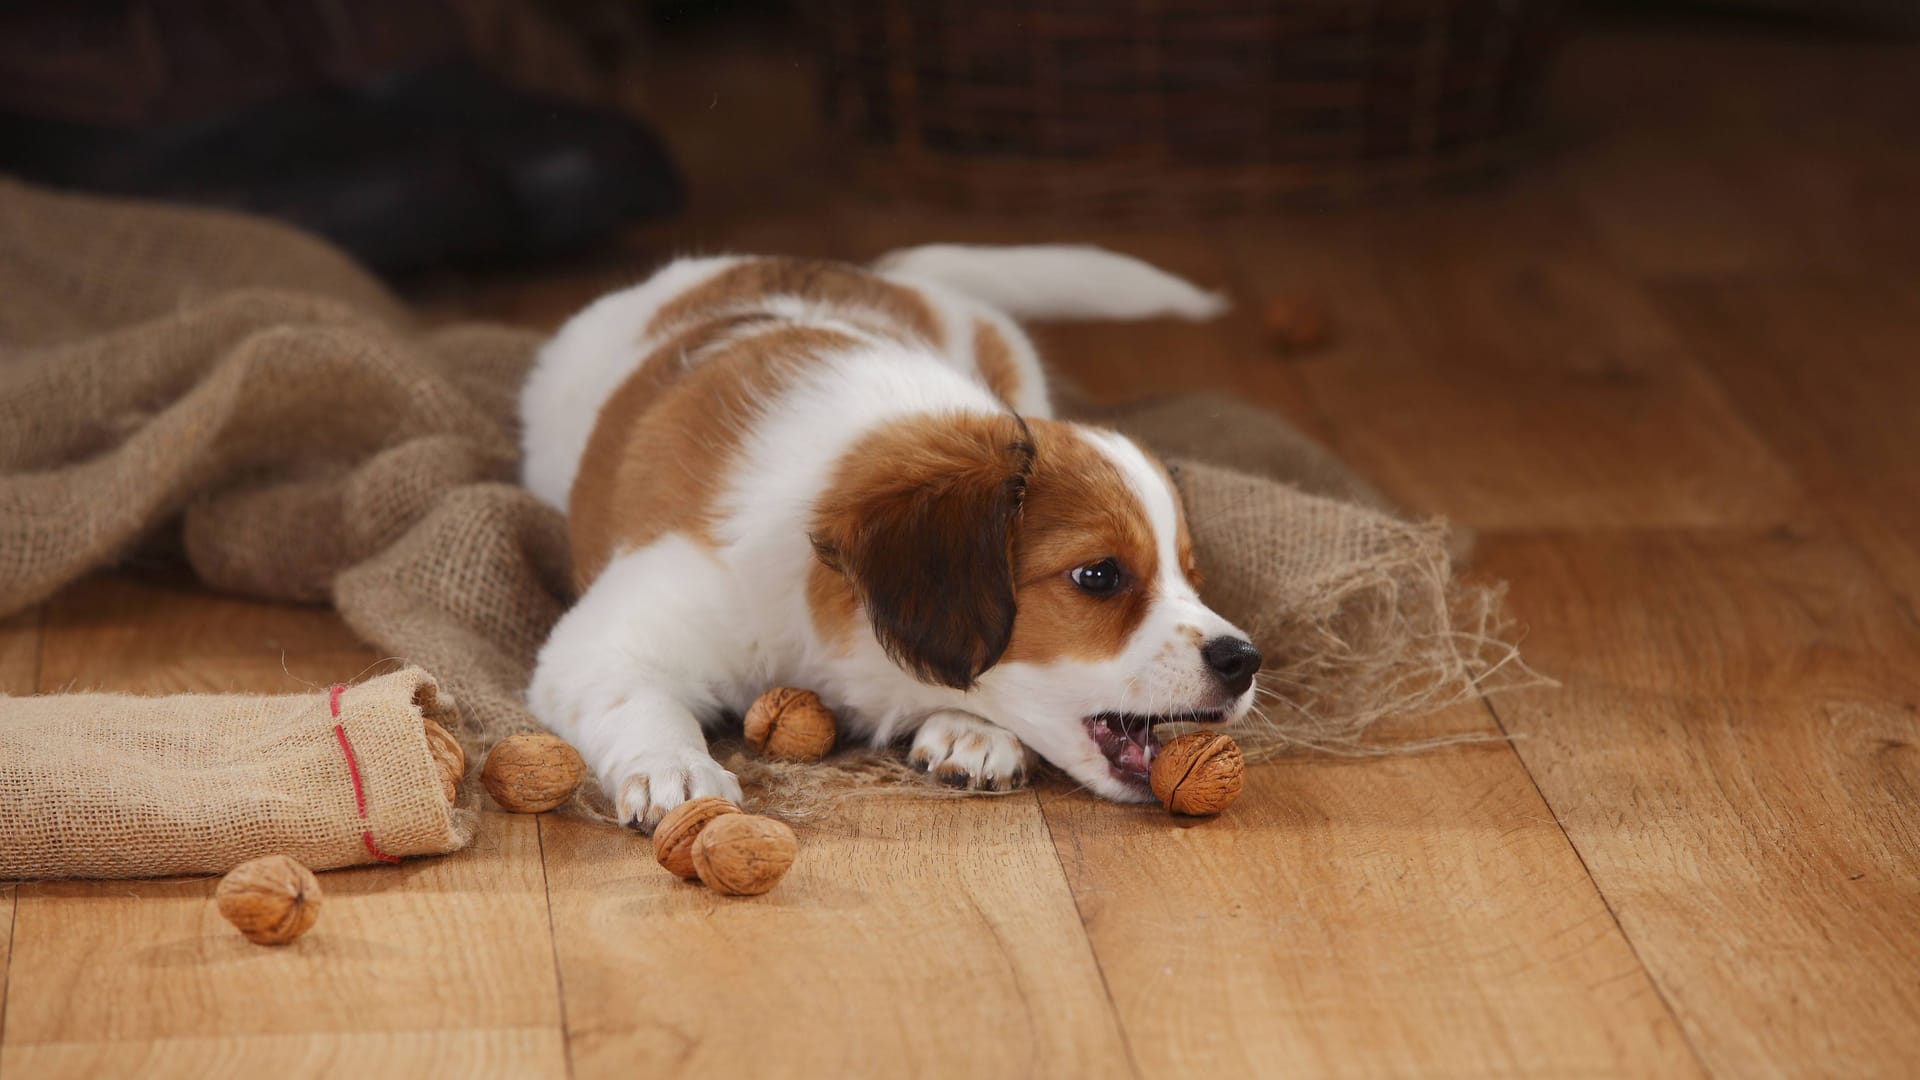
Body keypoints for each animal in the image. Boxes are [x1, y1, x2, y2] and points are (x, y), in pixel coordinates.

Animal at [518, 244, 1259, 822]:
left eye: (1191, 575)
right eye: (1098, 576)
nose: (1245, 661)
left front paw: (969, 727)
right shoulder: (606, 639)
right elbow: (635, 698)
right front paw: (672, 766)